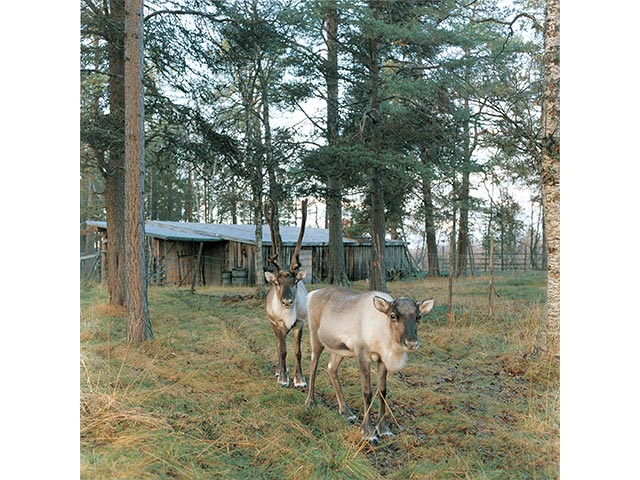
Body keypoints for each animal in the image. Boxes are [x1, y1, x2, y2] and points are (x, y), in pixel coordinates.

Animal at [304, 286, 434, 443]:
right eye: (393, 315)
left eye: (418, 317)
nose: (411, 343)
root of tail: (312, 293)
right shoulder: (363, 356)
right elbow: (367, 392)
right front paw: (368, 432)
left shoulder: (382, 360)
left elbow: (382, 391)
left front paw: (384, 429)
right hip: (315, 336)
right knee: (313, 364)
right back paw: (310, 402)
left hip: (339, 349)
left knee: (331, 368)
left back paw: (346, 412)